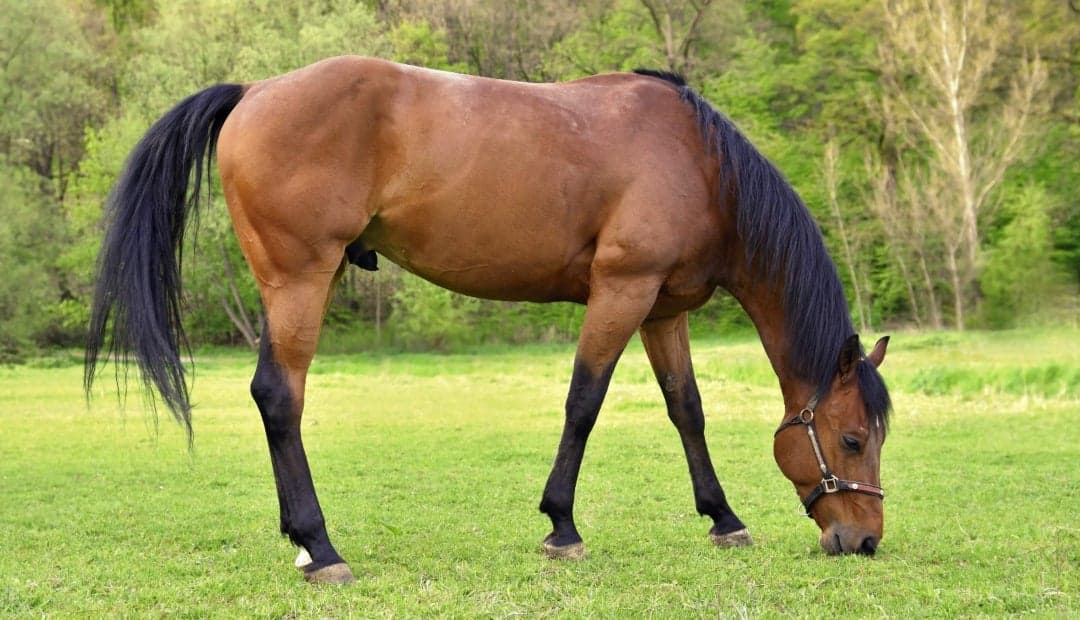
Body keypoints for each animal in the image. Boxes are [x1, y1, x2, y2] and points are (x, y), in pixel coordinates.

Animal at [85, 56, 892, 584]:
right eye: (852, 439)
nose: (864, 539)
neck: (697, 162)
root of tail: (255, 90)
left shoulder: (662, 310)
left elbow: (684, 410)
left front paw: (722, 518)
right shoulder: (621, 291)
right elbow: (583, 403)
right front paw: (561, 526)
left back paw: (304, 543)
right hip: (301, 280)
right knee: (280, 397)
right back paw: (322, 547)